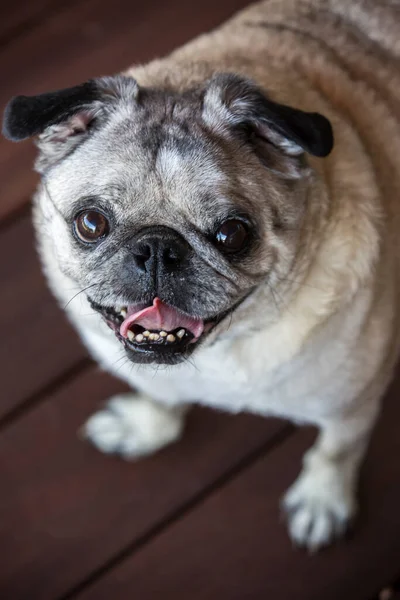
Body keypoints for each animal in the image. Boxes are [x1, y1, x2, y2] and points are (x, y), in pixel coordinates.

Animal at [3, 0, 400, 552]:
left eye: (232, 233)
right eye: (91, 223)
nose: (157, 248)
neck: (220, 353)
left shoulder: (351, 406)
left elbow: (335, 451)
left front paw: (322, 499)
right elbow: (159, 395)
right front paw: (146, 426)